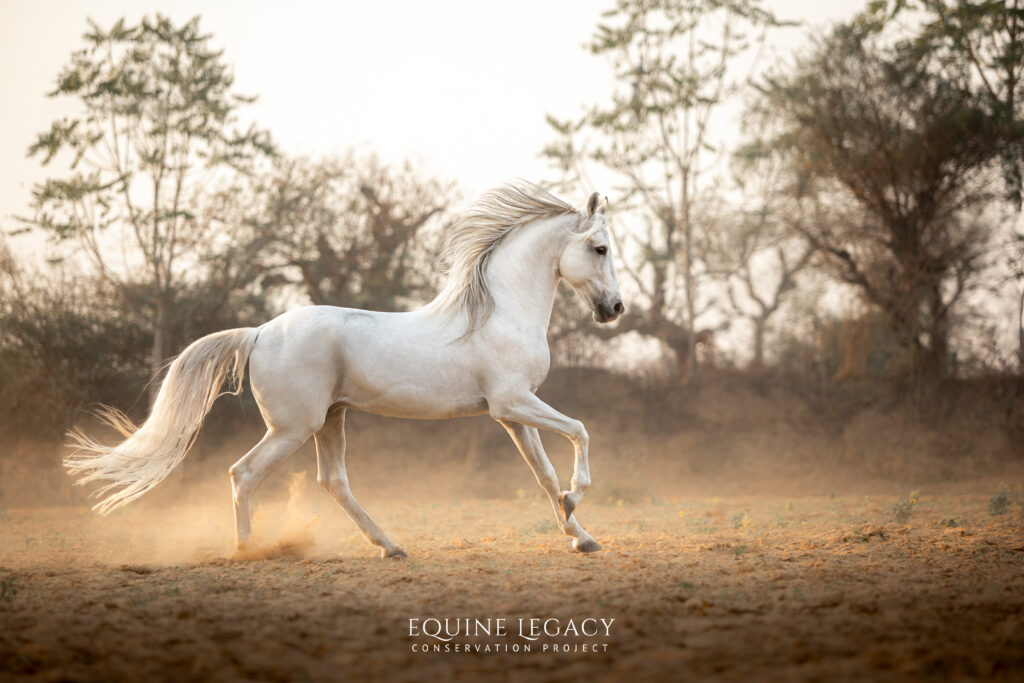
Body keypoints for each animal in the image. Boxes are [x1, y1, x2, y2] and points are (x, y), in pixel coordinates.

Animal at [65, 181, 624, 558]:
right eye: (600, 248)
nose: (615, 309)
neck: (500, 312)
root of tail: (260, 332)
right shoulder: (514, 402)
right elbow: (580, 431)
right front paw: (579, 498)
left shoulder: (510, 414)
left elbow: (544, 475)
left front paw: (581, 535)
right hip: (294, 426)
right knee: (244, 472)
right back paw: (248, 551)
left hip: (331, 419)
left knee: (332, 481)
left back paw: (390, 546)